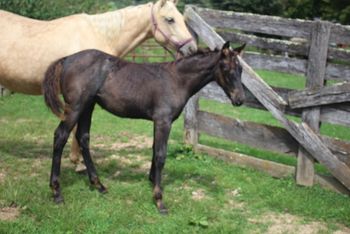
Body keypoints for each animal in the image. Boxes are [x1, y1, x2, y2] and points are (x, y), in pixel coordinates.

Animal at [0, 0, 197, 168]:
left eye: (181, 18)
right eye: (170, 19)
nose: (192, 49)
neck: (100, 34)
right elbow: (77, 129)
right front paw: (78, 162)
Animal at [42, 40, 245, 214]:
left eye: (241, 69)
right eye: (225, 68)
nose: (240, 99)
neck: (176, 79)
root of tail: (66, 59)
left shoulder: (158, 121)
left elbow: (155, 150)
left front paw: (152, 181)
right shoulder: (163, 120)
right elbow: (161, 155)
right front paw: (159, 199)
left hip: (88, 105)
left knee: (83, 137)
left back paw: (98, 184)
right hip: (75, 107)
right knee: (60, 136)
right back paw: (57, 191)